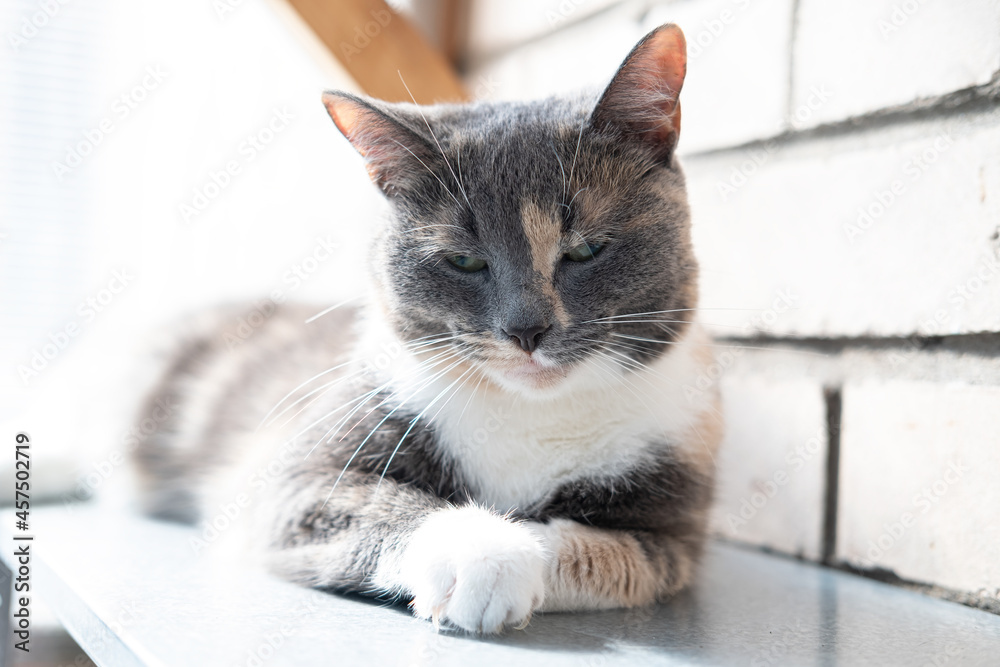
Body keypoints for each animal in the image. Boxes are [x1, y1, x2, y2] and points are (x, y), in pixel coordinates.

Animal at [133, 23, 724, 636]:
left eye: (586, 250)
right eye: (463, 261)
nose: (527, 331)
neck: (529, 413)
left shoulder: (672, 534)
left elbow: (603, 552)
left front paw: (517, 551)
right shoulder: (295, 481)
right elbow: (382, 503)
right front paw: (481, 554)